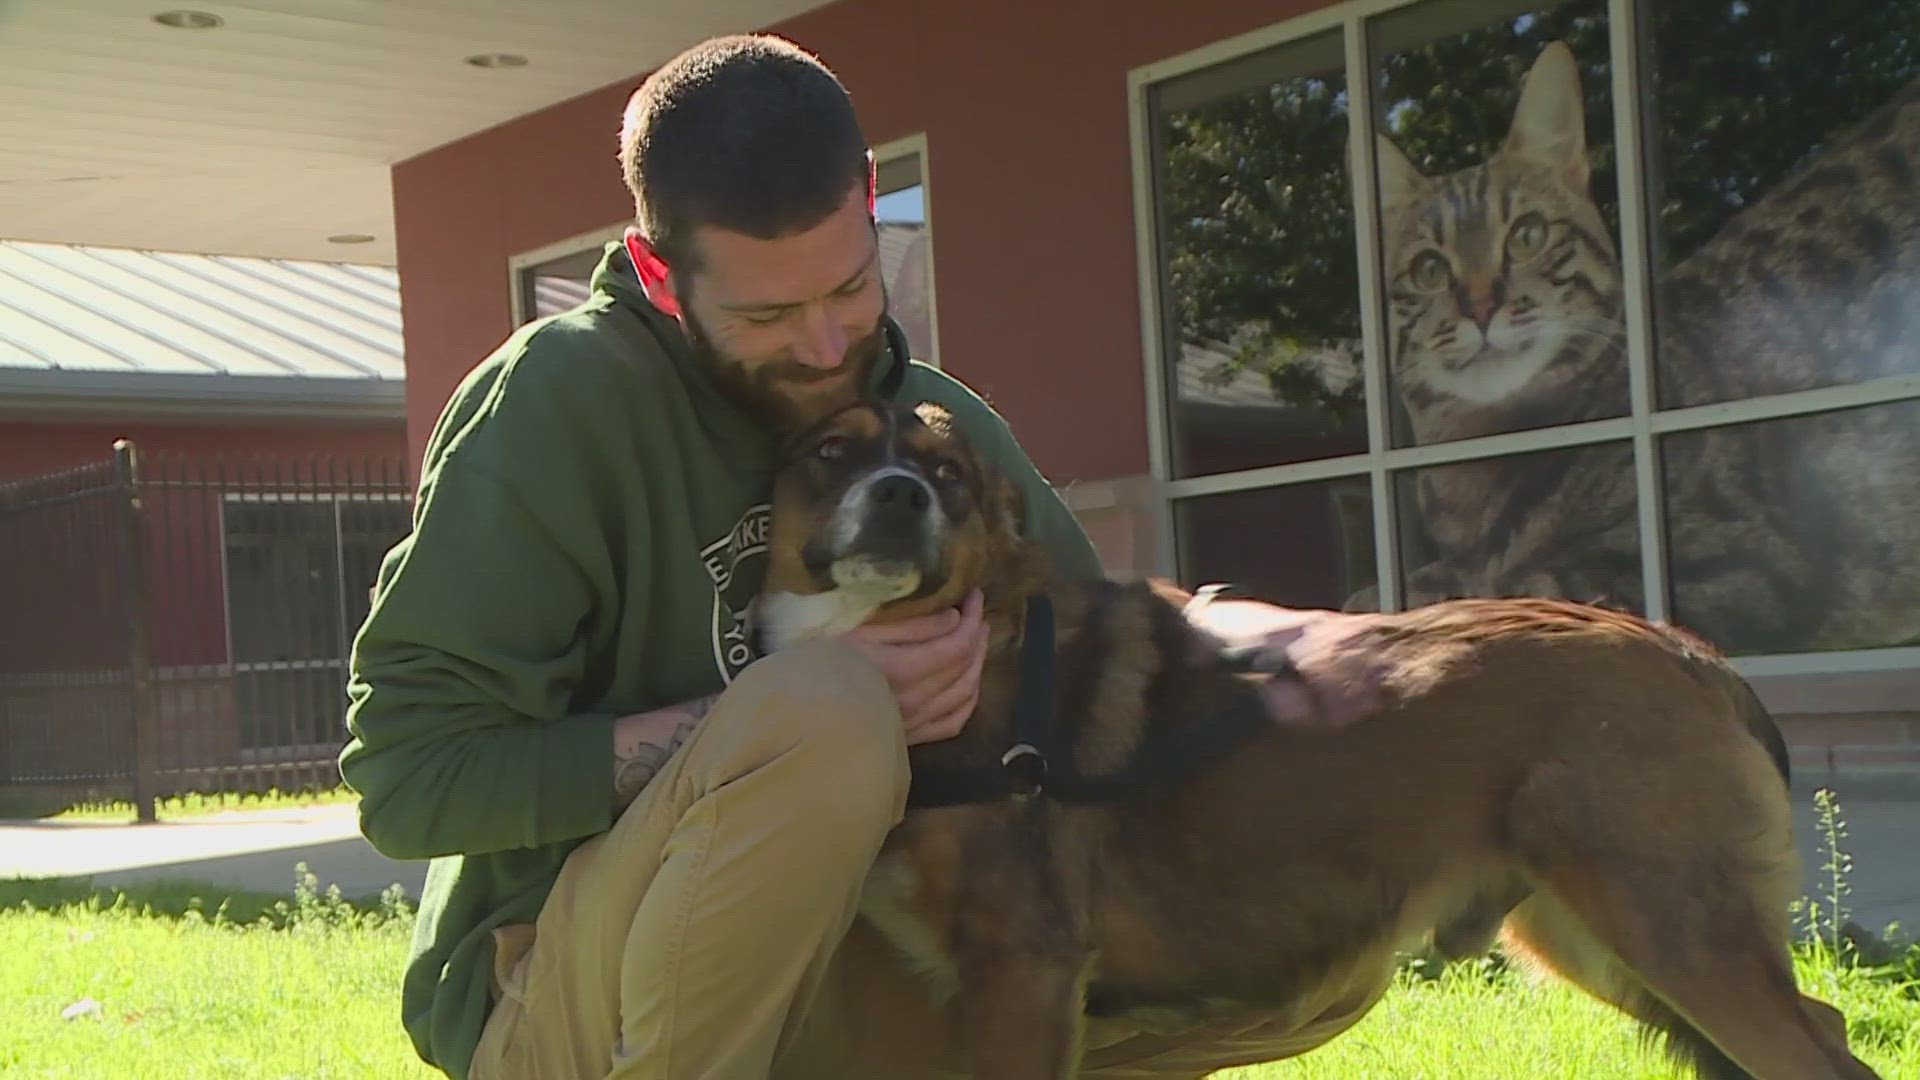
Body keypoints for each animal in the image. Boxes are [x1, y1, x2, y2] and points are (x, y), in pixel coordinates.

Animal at [748, 397, 1873, 1076]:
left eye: (944, 472)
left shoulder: (1022, 974)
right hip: (1599, 940)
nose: (900, 496)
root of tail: (1691, 653)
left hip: (1671, 928)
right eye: (831, 452)